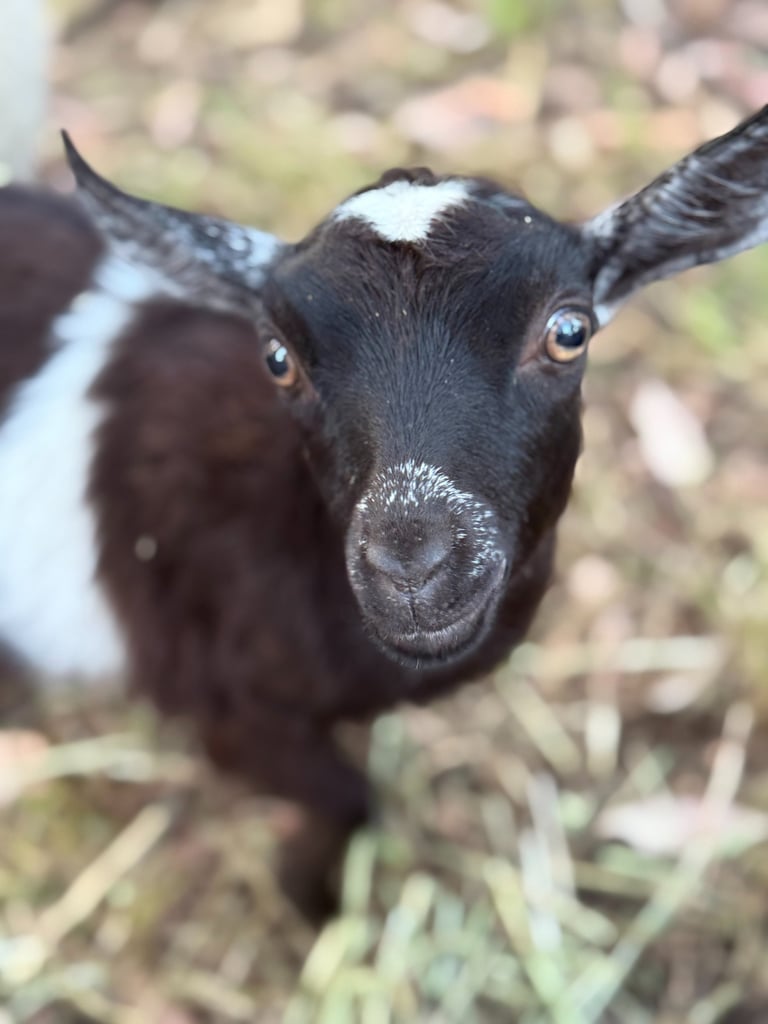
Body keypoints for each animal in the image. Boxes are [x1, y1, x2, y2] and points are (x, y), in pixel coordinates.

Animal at [1, 108, 767, 919]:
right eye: (278, 358)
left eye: (569, 332)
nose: (410, 568)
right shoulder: (222, 708)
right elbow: (349, 799)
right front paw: (314, 902)